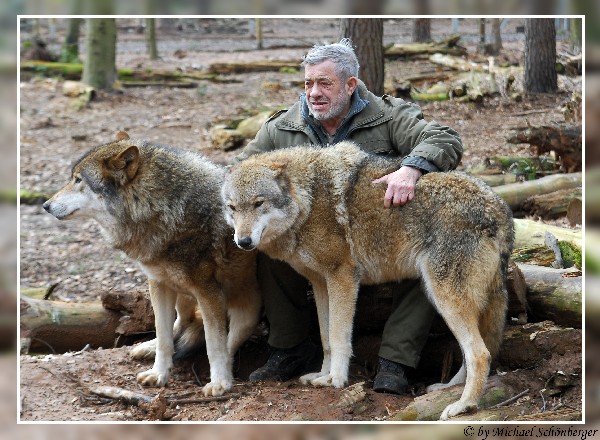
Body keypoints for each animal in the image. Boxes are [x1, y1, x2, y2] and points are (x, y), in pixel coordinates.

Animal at [39, 131, 260, 396]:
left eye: (78, 180)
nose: (45, 205)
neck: (160, 208)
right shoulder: (157, 283)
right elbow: (164, 336)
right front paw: (158, 374)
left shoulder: (209, 293)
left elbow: (215, 344)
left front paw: (219, 382)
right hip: (181, 292)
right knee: (182, 321)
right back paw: (149, 346)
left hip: (247, 312)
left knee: (227, 338)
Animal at [223, 142, 512, 420]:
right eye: (232, 208)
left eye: (259, 203)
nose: (243, 241)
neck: (308, 200)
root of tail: (500, 207)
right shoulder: (321, 283)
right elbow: (326, 339)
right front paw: (322, 375)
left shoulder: (342, 277)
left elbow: (339, 336)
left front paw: (335, 379)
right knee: (477, 350)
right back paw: (448, 389)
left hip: (445, 297)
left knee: (480, 354)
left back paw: (464, 405)